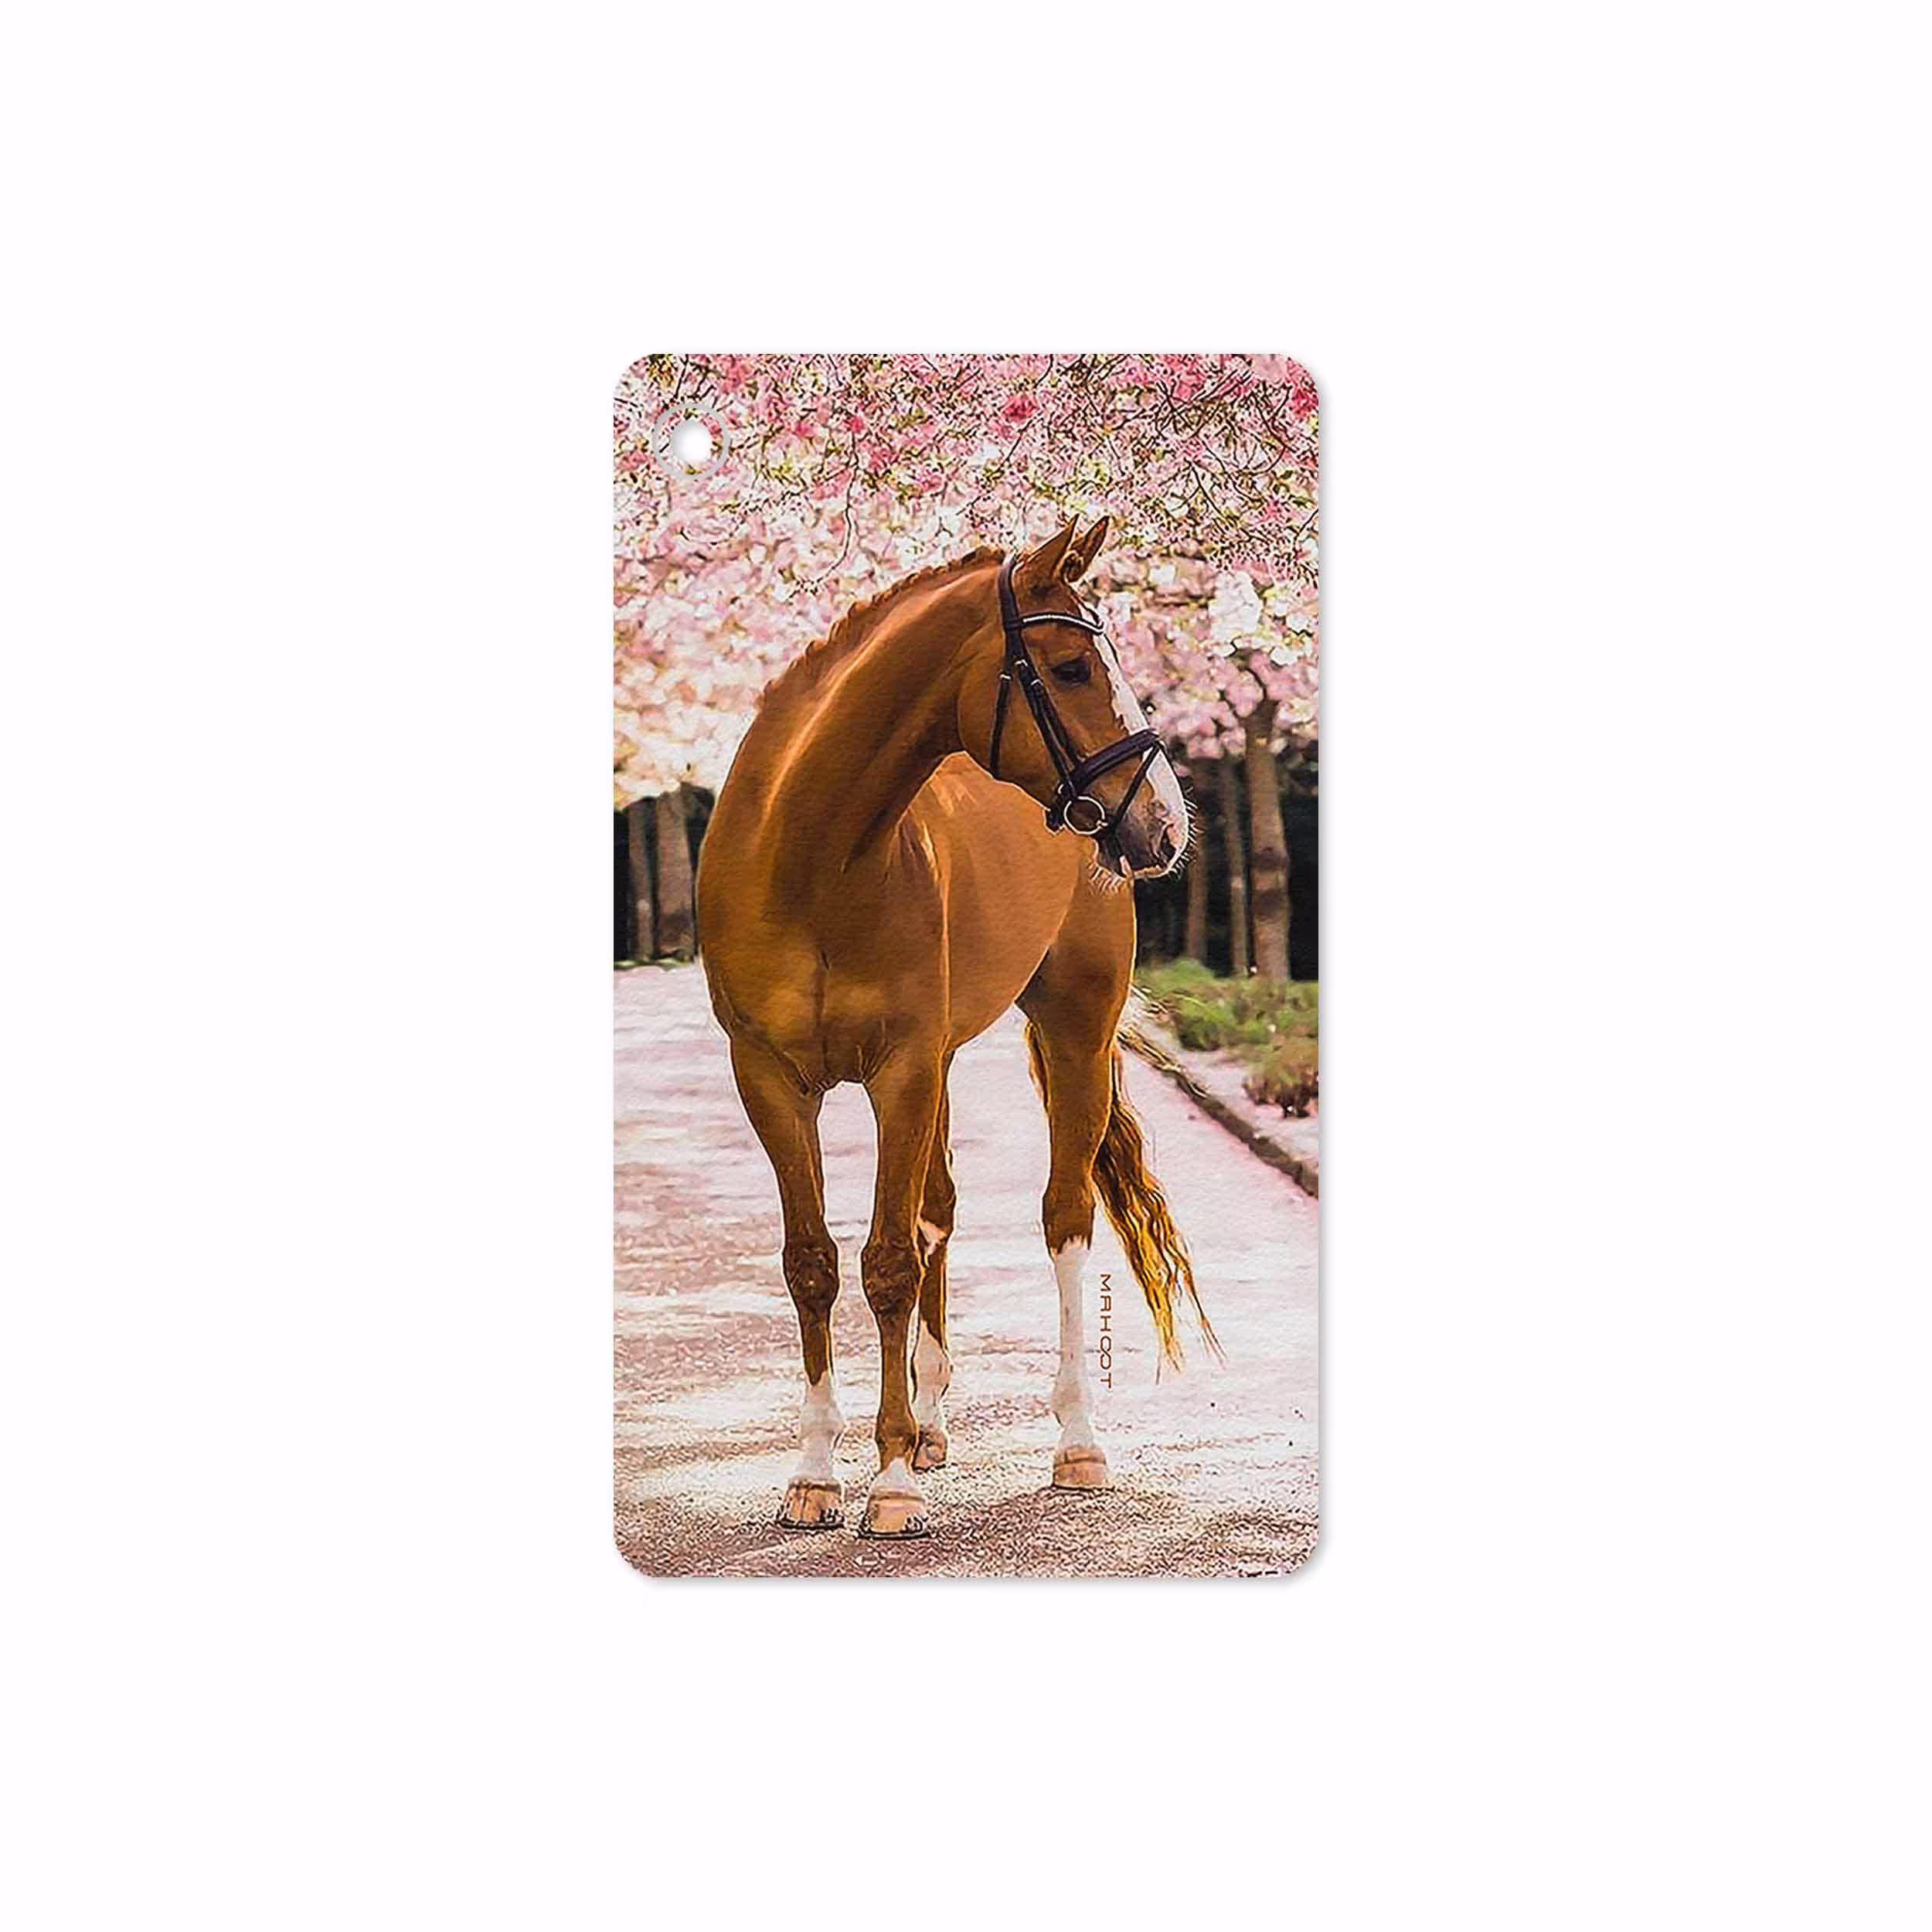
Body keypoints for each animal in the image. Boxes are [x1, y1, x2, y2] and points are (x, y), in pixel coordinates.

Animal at [696, 516, 1216, 1538]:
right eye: (1069, 667)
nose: (1166, 826)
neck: (809, 857)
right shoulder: (770, 1078)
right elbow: (813, 1262)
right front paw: (816, 1473)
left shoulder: (899, 1069)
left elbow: (889, 1261)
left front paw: (890, 1481)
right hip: (938, 1064)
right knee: (937, 1209)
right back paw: (932, 1424)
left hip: (1072, 1031)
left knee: (1063, 1217)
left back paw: (1073, 1441)